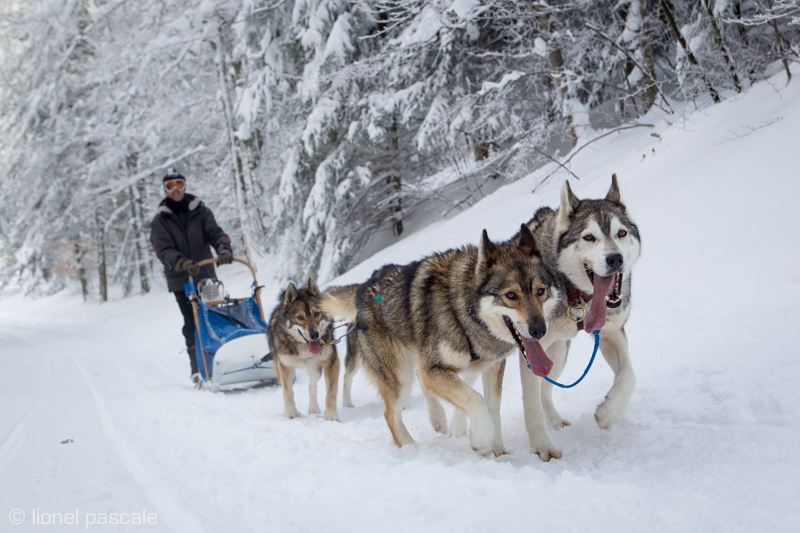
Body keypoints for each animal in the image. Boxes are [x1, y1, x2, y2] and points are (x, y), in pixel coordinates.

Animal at [268, 280, 340, 422]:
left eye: (316, 314)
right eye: (300, 317)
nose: (314, 334)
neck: (304, 347)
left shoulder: (332, 362)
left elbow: (331, 392)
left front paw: (331, 416)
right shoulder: (285, 366)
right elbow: (287, 392)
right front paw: (291, 414)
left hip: (315, 369)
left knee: (311, 385)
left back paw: (313, 408)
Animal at [322, 224, 560, 454]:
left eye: (540, 291)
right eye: (511, 295)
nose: (539, 330)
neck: (462, 312)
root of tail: (364, 286)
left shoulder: (492, 365)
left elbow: (493, 407)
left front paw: (498, 450)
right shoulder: (434, 371)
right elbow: (476, 400)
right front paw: (482, 438)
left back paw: (437, 420)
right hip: (400, 378)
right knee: (390, 413)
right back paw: (410, 447)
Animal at [520, 177, 644, 460]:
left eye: (621, 233)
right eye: (589, 237)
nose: (615, 258)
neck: (573, 292)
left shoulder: (610, 333)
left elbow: (629, 376)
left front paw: (609, 413)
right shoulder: (530, 349)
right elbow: (530, 405)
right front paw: (542, 447)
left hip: (558, 355)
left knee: (545, 390)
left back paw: (555, 421)